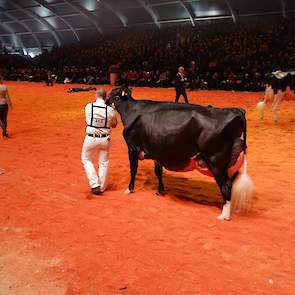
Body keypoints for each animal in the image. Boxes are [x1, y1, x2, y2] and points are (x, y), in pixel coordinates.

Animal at [107, 86, 256, 221]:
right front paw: (160, 191)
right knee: (232, 182)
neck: (131, 110)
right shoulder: (157, 152)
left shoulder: (132, 147)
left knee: (226, 185)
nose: (106, 100)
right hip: (230, 161)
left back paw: (224, 215)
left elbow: (133, 169)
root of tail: (236, 110)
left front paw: (129, 189)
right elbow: (158, 172)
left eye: (112, 94)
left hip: (215, 160)